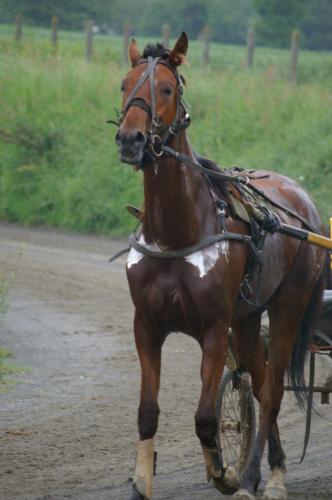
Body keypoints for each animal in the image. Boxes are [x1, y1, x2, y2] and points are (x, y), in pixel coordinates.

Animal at [113, 33, 326, 498]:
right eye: (124, 84)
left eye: (167, 89)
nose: (130, 140)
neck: (177, 232)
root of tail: (305, 202)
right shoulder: (146, 325)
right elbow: (147, 412)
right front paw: (140, 482)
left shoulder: (213, 327)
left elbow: (206, 416)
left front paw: (224, 473)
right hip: (245, 320)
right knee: (261, 382)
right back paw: (271, 468)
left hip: (287, 305)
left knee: (272, 391)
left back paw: (256, 479)